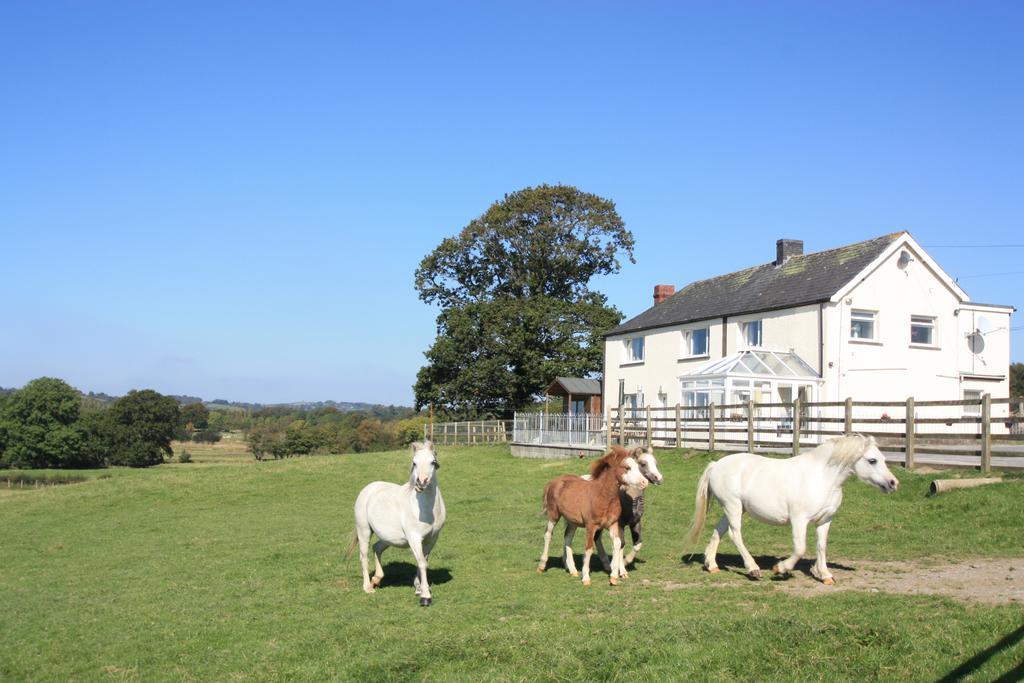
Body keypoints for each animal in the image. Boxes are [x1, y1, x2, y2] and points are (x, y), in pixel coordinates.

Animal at [348, 440, 444, 606]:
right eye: (414, 463)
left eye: (432, 462)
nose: (421, 482)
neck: (426, 511)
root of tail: (368, 488)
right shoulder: (414, 538)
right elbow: (421, 562)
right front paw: (425, 596)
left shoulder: (432, 539)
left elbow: (423, 561)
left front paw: (419, 589)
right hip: (364, 530)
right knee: (364, 556)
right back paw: (368, 587)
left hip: (389, 538)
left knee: (377, 548)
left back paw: (376, 579)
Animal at [536, 448, 647, 589]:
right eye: (627, 467)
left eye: (638, 467)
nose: (644, 482)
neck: (603, 496)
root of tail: (553, 482)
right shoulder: (591, 526)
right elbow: (588, 549)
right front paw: (586, 578)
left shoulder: (613, 524)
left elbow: (617, 544)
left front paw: (614, 577)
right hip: (553, 515)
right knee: (548, 535)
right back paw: (542, 565)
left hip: (572, 521)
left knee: (567, 538)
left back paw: (572, 570)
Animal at [688, 436, 897, 585]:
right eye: (872, 460)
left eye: (883, 459)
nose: (893, 483)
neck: (821, 478)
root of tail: (716, 464)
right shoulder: (799, 520)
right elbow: (800, 548)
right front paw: (780, 568)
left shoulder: (825, 520)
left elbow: (821, 546)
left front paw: (825, 575)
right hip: (733, 507)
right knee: (734, 534)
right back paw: (753, 569)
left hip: (735, 508)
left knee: (719, 531)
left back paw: (712, 565)